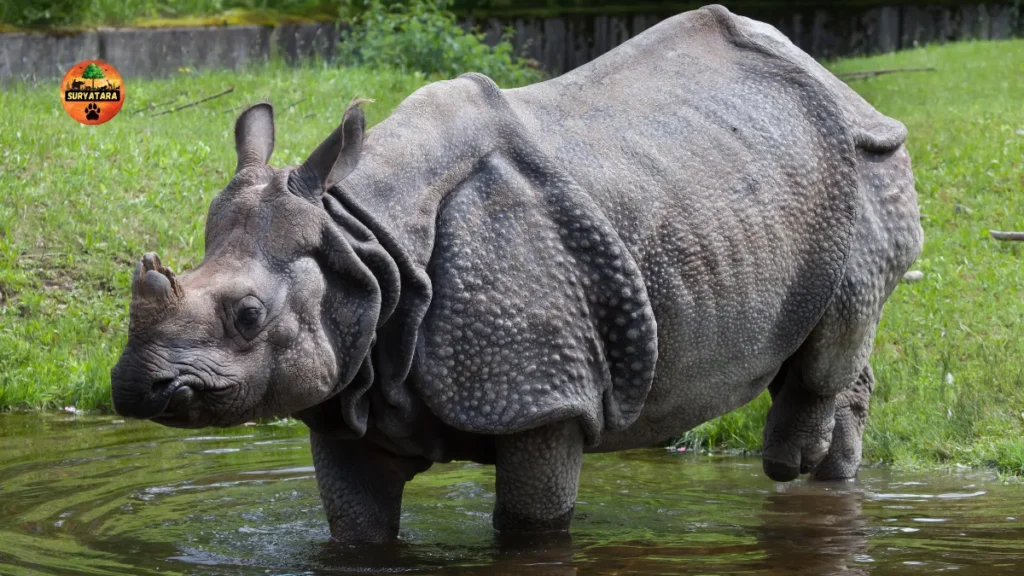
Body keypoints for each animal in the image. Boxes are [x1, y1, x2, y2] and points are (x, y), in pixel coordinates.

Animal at [110, 5, 922, 543]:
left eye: (249, 317)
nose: (135, 387)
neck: (363, 243)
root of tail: (839, 84)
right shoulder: (346, 391)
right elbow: (357, 528)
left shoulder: (544, 396)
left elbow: (531, 524)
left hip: (872, 162)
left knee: (837, 333)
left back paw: (793, 458)